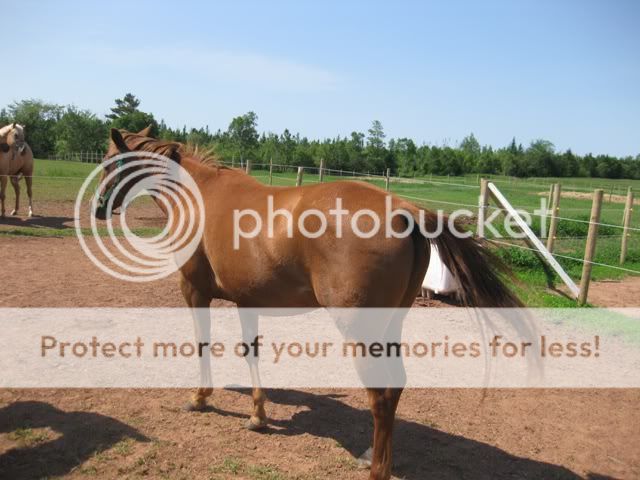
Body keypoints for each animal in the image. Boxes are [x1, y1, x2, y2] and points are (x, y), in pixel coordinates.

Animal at [97, 127, 524, 480]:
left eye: (107, 161)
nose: (99, 207)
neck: (198, 195)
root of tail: (405, 210)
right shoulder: (246, 301)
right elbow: (251, 352)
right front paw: (257, 415)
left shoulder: (194, 290)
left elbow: (202, 344)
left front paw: (200, 398)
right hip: (390, 326)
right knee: (395, 387)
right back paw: (371, 454)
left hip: (361, 334)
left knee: (381, 396)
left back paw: (378, 469)